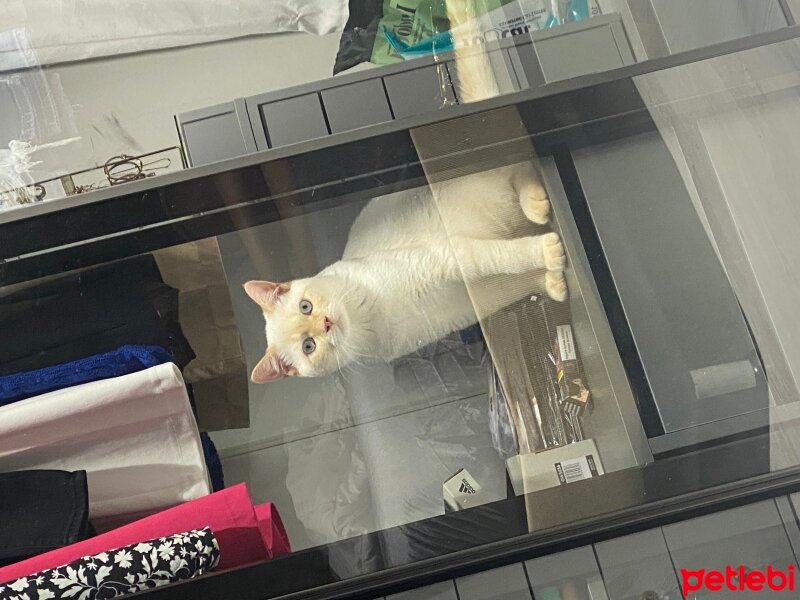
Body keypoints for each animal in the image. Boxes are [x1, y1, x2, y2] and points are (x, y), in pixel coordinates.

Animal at [244, 0, 564, 382]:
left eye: (306, 305)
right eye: (309, 346)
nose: (326, 323)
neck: (372, 315)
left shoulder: (451, 258)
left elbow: (505, 257)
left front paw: (548, 254)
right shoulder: (477, 299)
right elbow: (519, 281)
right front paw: (553, 282)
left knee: (518, 166)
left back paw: (535, 206)